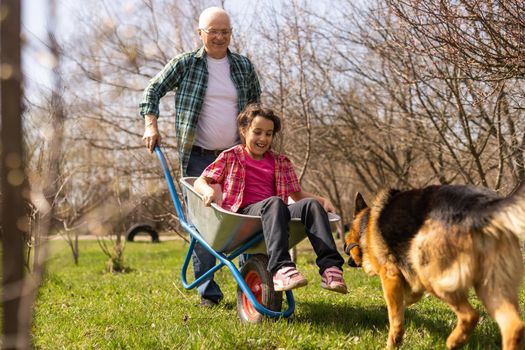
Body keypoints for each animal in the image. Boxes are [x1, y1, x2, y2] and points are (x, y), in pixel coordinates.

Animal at [344, 185, 524, 348]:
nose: (348, 262)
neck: (365, 225)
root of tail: (482, 207)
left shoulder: (390, 276)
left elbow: (395, 319)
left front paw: (392, 344)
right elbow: (408, 299)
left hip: (432, 275)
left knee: (471, 315)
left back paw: (454, 341)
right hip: (491, 288)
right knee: (514, 326)